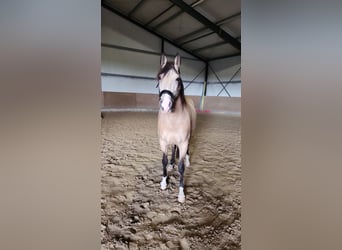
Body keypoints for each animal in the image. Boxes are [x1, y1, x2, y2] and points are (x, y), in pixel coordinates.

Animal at [156, 53, 196, 203]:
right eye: (159, 77)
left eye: (177, 79)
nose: (165, 105)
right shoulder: (163, 142)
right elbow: (164, 160)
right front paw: (163, 182)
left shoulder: (183, 143)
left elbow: (181, 167)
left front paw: (181, 194)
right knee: (173, 148)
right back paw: (172, 162)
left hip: (189, 137)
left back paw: (188, 160)